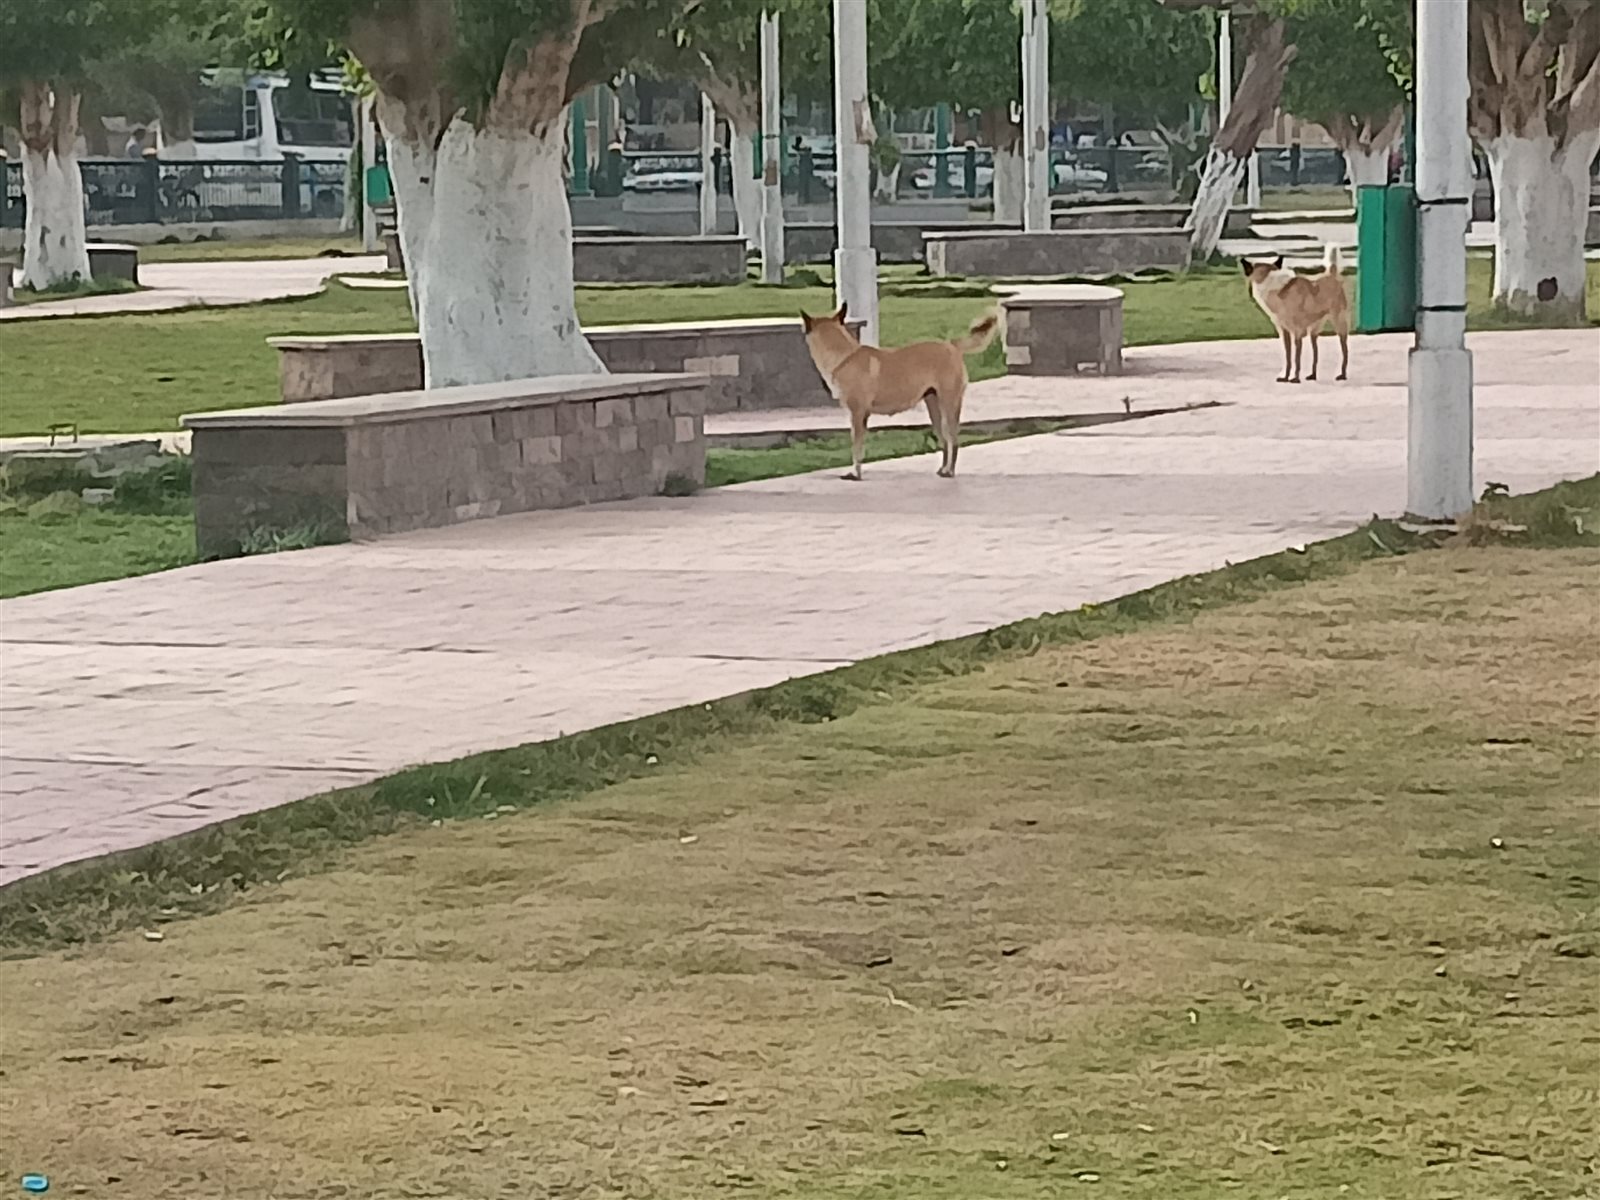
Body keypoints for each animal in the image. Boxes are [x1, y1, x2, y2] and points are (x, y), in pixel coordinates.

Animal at [800, 305, 999, 480]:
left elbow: (856, 448)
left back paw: (949, 471)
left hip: (949, 405)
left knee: (953, 440)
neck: (845, 356)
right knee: (945, 441)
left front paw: (855, 474)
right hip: (934, 407)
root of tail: (951, 345)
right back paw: (943, 469)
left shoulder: (857, 415)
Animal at [1243, 244, 1351, 384]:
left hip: (1339, 323)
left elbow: (1296, 358)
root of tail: (1330, 274)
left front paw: (1295, 378)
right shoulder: (1285, 332)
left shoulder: (1298, 333)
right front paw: (1285, 377)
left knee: (1345, 350)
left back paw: (1342, 374)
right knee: (1315, 351)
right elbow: (1288, 357)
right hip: (1314, 331)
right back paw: (1313, 375)